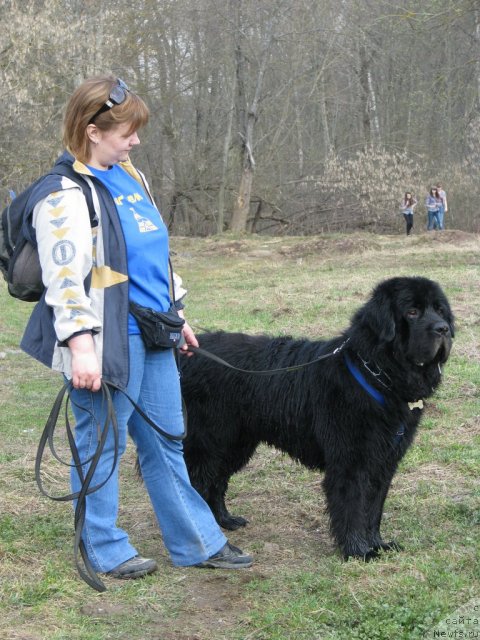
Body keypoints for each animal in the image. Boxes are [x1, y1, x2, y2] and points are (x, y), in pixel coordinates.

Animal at [180, 276, 454, 560]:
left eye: (440, 310)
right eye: (412, 312)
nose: (443, 329)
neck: (376, 374)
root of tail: (188, 351)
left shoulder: (384, 461)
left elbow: (373, 508)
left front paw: (377, 544)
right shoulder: (351, 461)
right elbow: (353, 508)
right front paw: (358, 552)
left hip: (235, 444)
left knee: (216, 482)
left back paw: (225, 521)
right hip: (209, 442)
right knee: (197, 484)